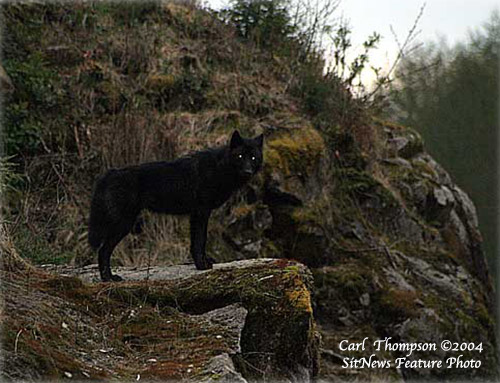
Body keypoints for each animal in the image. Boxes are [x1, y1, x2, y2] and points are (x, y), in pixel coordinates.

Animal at [88, 132, 264, 282]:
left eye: (253, 157)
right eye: (240, 156)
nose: (248, 171)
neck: (219, 168)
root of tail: (107, 174)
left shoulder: (197, 214)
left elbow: (198, 242)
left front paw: (203, 262)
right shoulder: (201, 212)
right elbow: (200, 241)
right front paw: (202, 265)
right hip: (124, 224)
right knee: (103, 251)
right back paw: (108, 278)